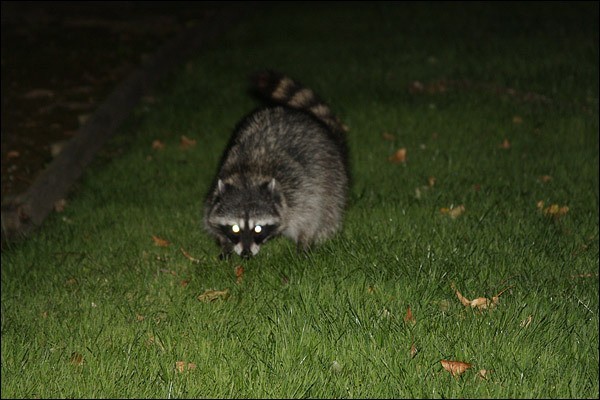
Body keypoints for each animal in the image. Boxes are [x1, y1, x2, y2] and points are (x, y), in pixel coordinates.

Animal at [204, 71, 350, 260]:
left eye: (258, 229)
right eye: (235, 228)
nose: (246, 254)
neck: (248, 177)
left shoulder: (302, 190)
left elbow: (311, 215)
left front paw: (304, 243)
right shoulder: (216, 190)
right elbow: (210, 219)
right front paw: (225, 244)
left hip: (332, 173)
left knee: (330, 206)